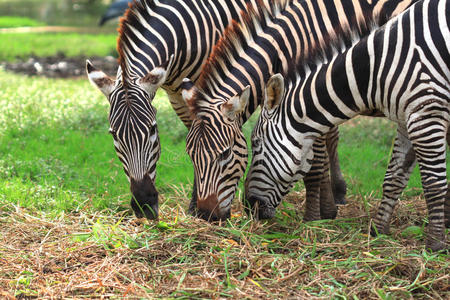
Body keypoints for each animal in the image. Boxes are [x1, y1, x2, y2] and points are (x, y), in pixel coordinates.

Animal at [180, 0, 418, 220]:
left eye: (225, 153)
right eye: (190, 155)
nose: (205, 215)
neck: (291, 42)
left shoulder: (314, 97)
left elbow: (316, 162)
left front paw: (317, 216)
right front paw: (328, 206)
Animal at [246, 0, 450, 251]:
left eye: (256, 143)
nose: (248, 206)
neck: (376, 68)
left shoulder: (427, 113)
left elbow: (433, 182)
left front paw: (435, 244)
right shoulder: (407, 117)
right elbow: (394, 178)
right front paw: (378, 231)